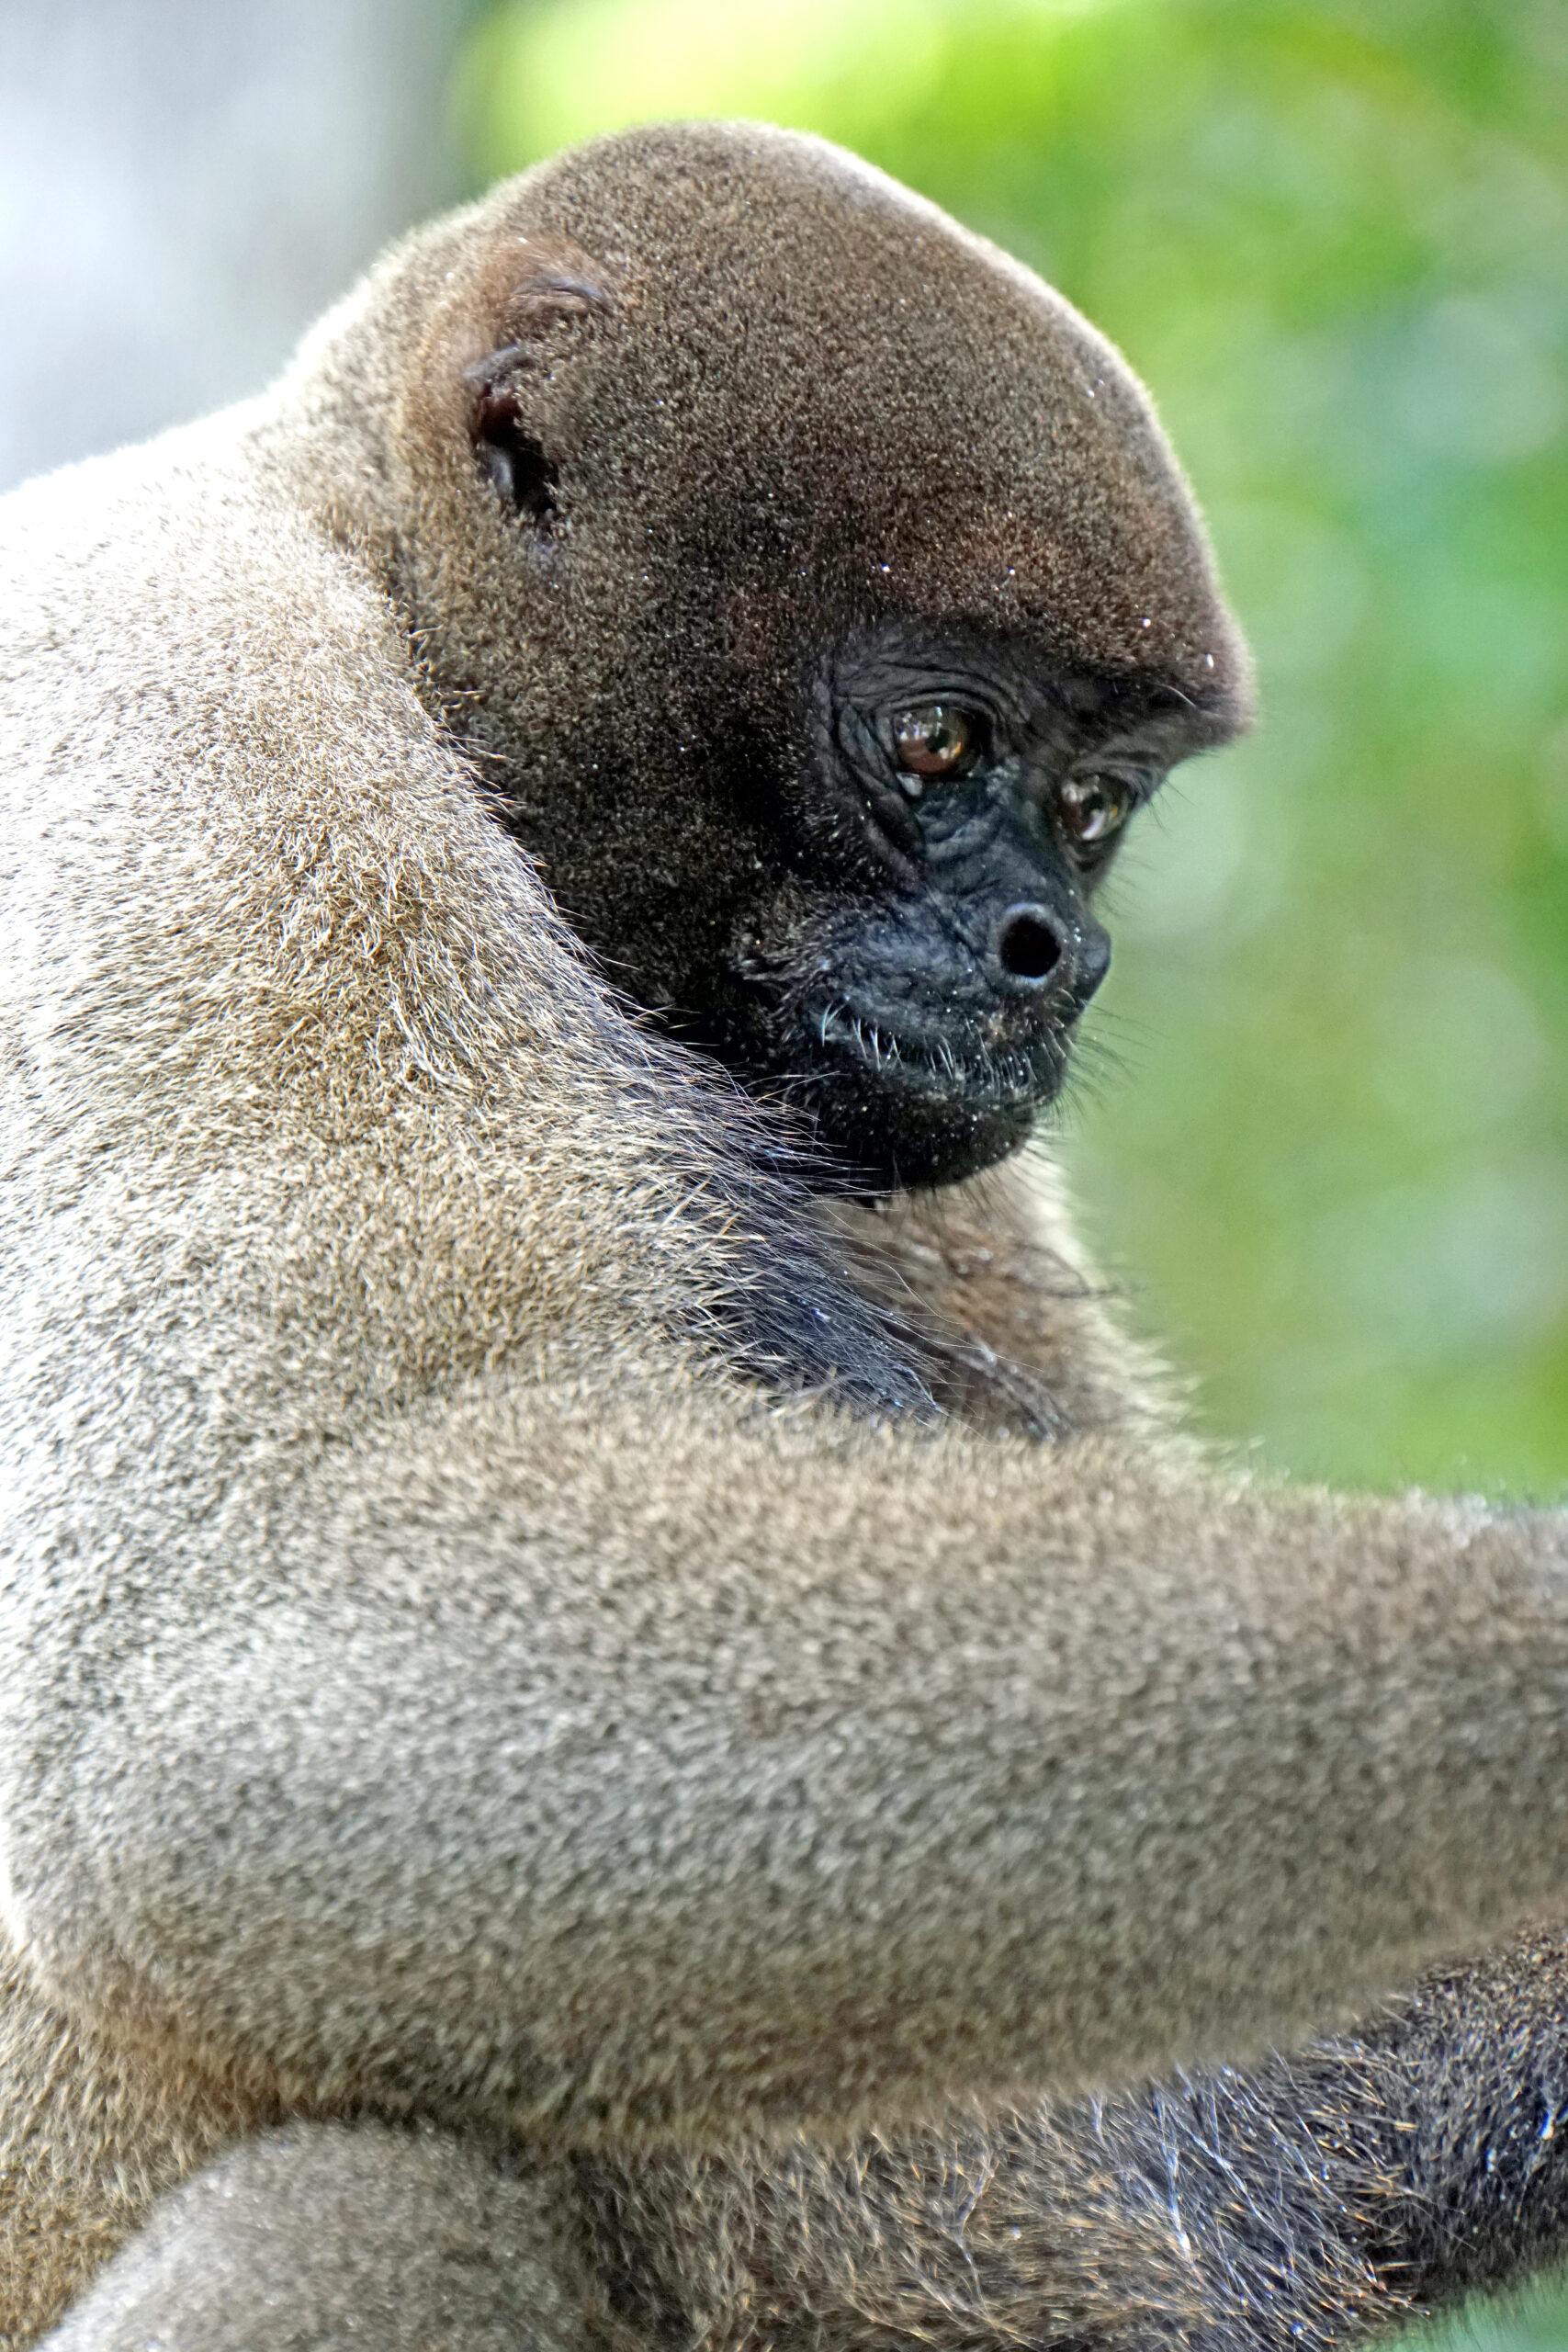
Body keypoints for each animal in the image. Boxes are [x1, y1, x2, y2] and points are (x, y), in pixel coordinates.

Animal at [3, 118, 1568, 2352]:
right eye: (935, 744)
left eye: (1095, 804)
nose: (1052, 952)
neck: (362, 548)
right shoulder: (188, 718)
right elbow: (217, 1663)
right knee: (384, 2201)